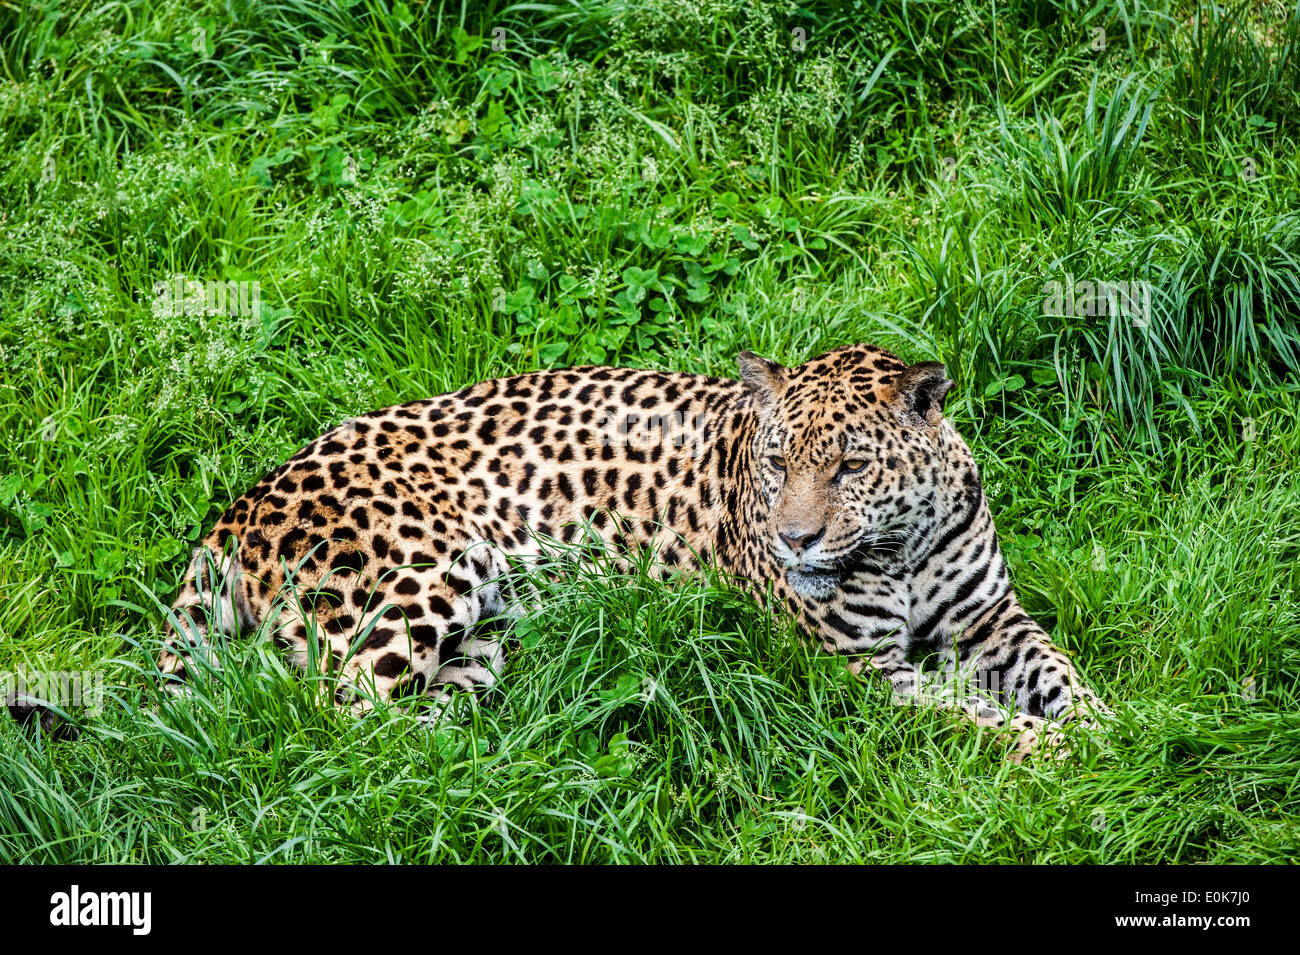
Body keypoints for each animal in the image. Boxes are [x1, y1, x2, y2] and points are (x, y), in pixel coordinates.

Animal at [156, 343, 1109, 760]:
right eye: (776, 462)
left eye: (849, 465)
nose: (794, 538)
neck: (900, 546)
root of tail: (236, 507)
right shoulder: (861, 673)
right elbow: (970, 713)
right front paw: (1060, 749)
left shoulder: (992, 617)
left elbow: (1060, 670)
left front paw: (1111, 724)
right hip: (425, 573)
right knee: (339, 716)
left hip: (483, 635)